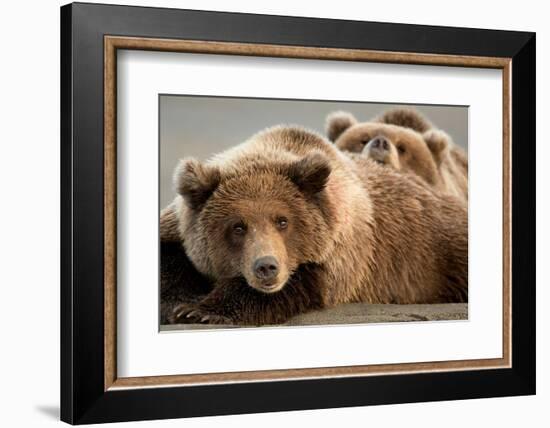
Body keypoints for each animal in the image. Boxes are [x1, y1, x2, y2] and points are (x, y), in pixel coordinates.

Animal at [164, 125, 470, 326]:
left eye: (283, 221)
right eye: (237, 227)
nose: (266, 266)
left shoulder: (342, 250)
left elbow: (301, 283)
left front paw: (202, 310)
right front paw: (181, 304)